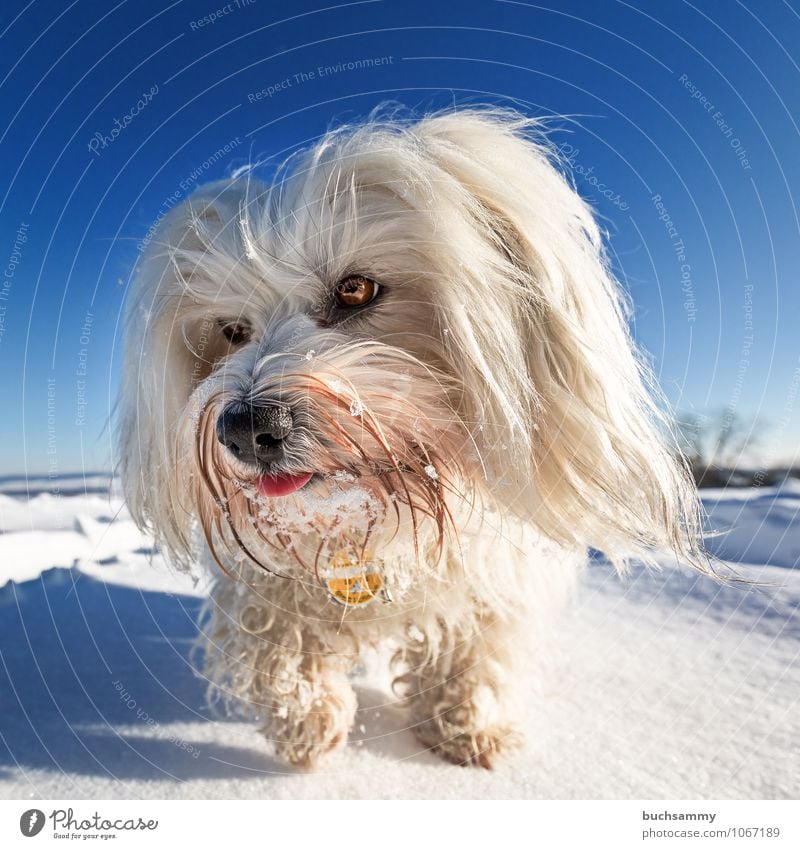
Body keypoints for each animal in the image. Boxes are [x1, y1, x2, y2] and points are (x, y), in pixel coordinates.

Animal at [117, 107, 700, 768]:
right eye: (232, 330)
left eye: (356, 289)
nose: (244, 427)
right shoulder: (266, 577)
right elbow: (276, 636)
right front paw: (309, 722)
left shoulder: (496, 575)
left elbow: (475, 647)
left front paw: (469, 727)